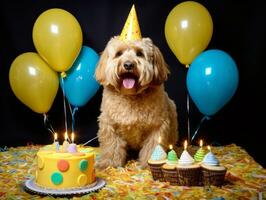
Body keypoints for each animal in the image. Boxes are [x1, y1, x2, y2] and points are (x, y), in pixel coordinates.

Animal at [94, 36, 178, 169]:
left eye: (139, 53)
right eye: (119, 53)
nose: (128, 65)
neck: (131, 95)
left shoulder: (157, 127)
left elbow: (151, 148)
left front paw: (149, 165)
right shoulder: (110, 125)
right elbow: (112, 147)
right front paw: (109, 163)